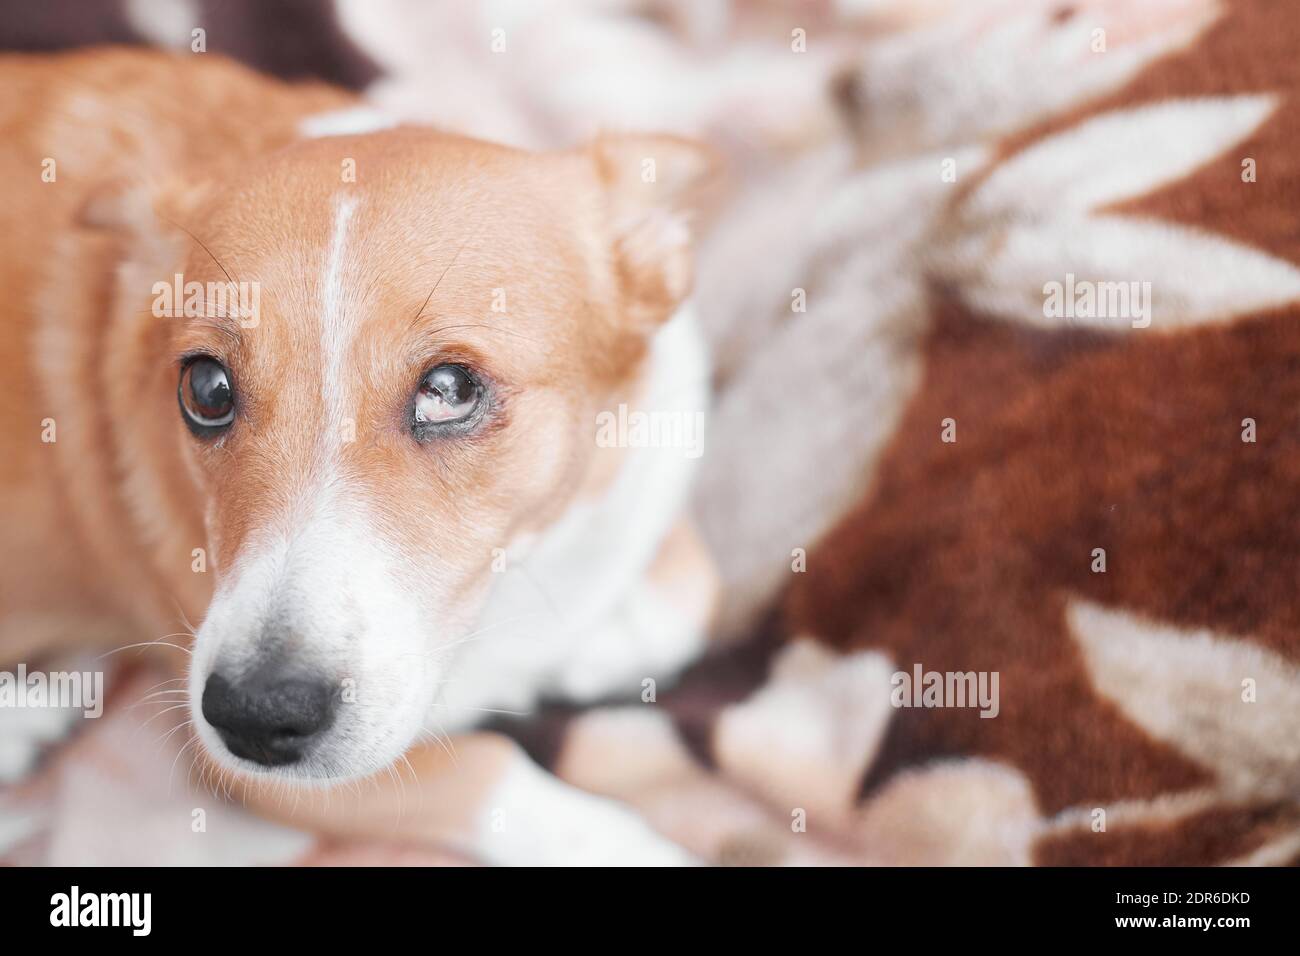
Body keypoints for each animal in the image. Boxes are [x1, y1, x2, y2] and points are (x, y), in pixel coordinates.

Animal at [0, 46, 712, 868]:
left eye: (449, 389)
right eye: (207, 388)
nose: (254, 715)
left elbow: (692, 591)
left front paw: (594, 641)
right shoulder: (274, 776)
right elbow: (491, 773)